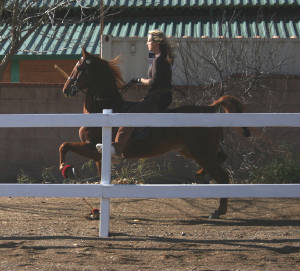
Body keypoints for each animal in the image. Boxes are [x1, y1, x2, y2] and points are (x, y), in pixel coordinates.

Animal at [58, 47, 251, 220]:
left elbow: (64, 145)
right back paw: (202, 176)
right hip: (193, 151)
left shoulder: (92, 147)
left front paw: (65, 168)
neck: (104, 107)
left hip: (202, 152)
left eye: (79, 67)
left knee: (223, 176)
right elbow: (99, 177)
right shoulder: (99, 156)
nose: (66, 89)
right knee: (221, 160)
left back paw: (218, 211)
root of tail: (210, 108)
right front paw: (96, 211)